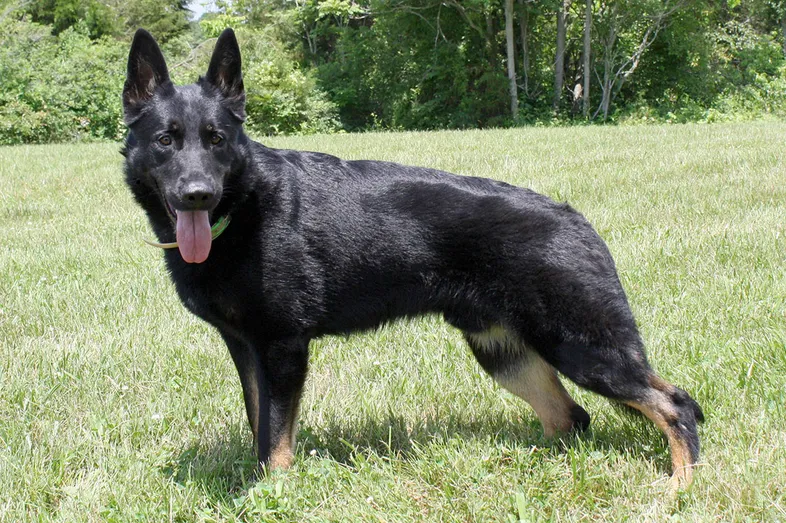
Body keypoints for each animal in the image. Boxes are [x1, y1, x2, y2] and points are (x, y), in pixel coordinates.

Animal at [124, 27, 704, 488]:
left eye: (217, 139)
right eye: (166, 141)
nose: (197, 195)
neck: (242, 208)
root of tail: (575, 218)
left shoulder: (283, 349)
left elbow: (277, 436)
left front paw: (273, 490)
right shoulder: (247, 350)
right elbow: (258, 424)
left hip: (581, 350)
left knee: (675, 405)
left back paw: (679, 486)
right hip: (505, 354)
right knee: (572, 418)